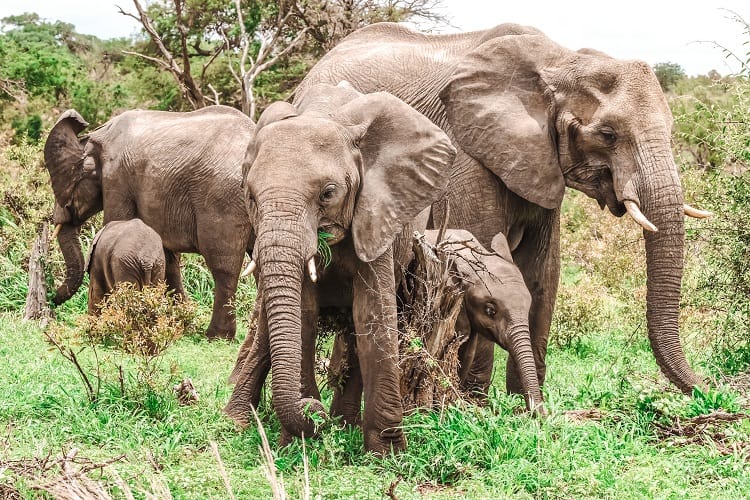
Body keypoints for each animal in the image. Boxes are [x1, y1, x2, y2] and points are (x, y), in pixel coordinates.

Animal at [43, 105, 256, 340]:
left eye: (65, 191)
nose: (52, 298)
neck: (94, 137)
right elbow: (167, 254)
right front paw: (180, 323)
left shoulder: (116, 178)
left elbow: (117, 222)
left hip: (223, 200)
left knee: (223, 266)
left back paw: (216, 336)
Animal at [225, 83, 458, 458]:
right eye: (250, 197)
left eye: (328, 193)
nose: (313, 411)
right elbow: (303, 314)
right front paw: (299, 442)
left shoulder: (378, 214)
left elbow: (372, 316)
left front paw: (387, 455)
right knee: (264, 331)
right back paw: (238, 421)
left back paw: (344, 424)